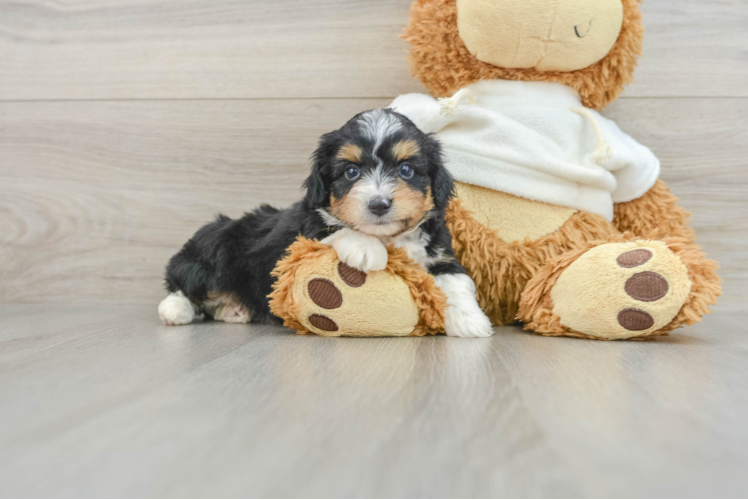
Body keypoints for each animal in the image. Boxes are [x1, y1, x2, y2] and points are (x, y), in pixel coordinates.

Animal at [159, 108, 490, 336]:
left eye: (406, 169)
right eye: (351, 172)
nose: (379, 204)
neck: (389, 237)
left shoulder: (438, 253)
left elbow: (457, 282)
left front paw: (471, 320)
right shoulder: (296, 241)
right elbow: (332, 228)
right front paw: (366, 250)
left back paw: (234, 309)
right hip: (215, 248)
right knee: (183, 282)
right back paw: (175, 310)